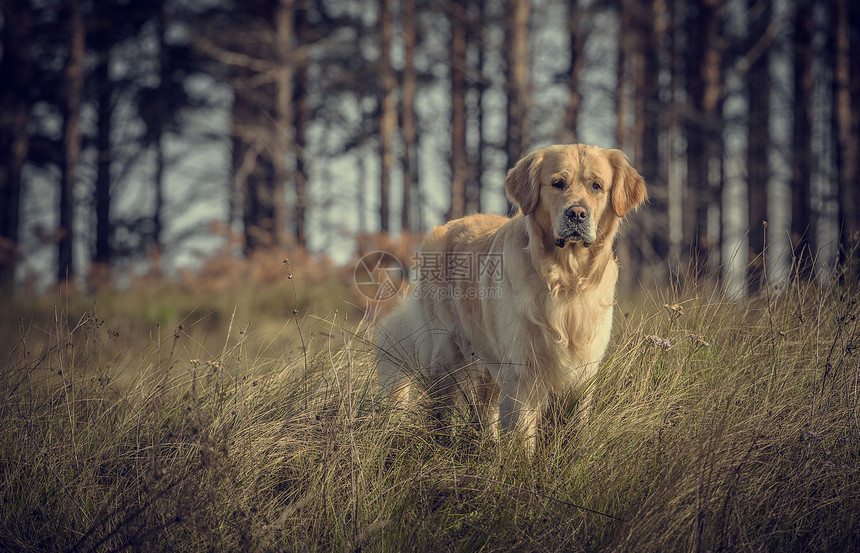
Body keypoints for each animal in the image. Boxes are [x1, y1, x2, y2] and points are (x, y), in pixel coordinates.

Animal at [376, 144, 644, 450]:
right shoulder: (521, 368)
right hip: (447, 353)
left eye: (596, 186)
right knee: (443, 409)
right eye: (557, 183)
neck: (564, 281)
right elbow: (521, 433)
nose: (577, 213)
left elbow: (573, 430)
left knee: (485, 408)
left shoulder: (583, 371)